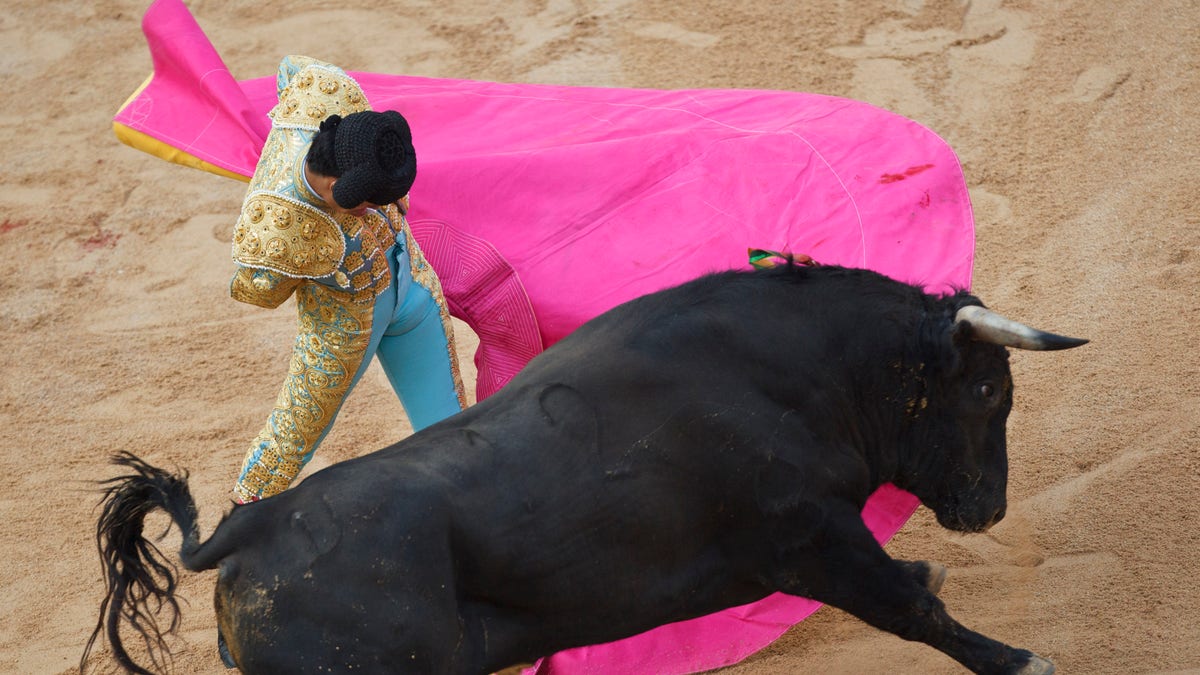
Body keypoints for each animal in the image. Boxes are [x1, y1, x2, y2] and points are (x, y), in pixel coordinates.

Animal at [88, 264, 1089, 672]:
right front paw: (1022, 658)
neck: (790, 368)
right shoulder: (809, 537)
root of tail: (244, 530)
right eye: (989, 390)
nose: (989, 507)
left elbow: (909, 595)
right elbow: (912, 609)